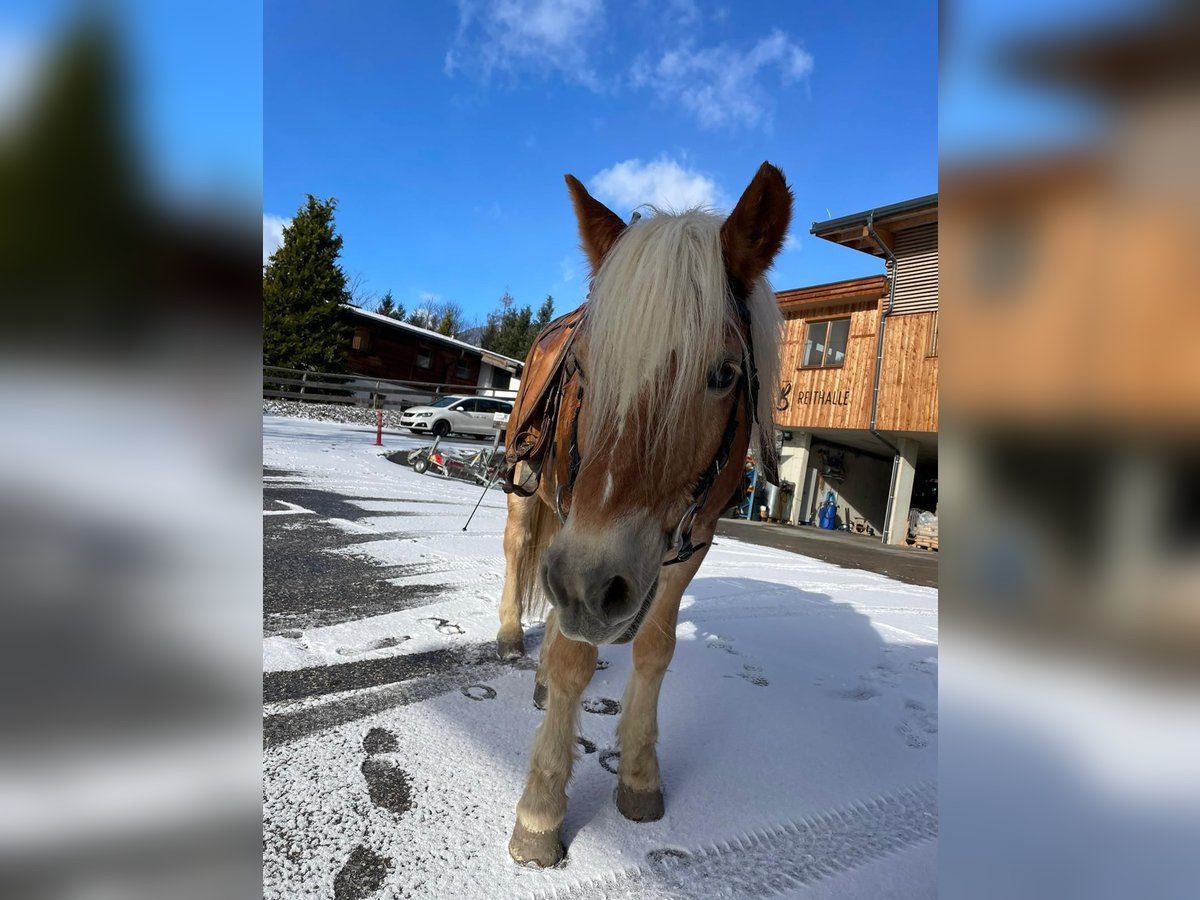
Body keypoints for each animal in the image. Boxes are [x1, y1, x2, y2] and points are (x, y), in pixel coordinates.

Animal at [494, 160, 787, 868]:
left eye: (724, 373)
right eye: (584, 368)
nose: (591, 583)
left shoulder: (688, 543)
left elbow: (655, 648)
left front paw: (639, 776)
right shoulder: (578, 544)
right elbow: (574, 656)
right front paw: (541, 812)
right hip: (528, 490)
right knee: (520, 553)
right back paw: (514, 638)